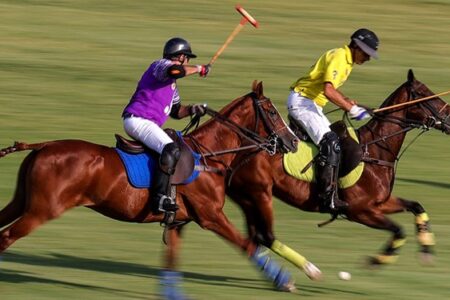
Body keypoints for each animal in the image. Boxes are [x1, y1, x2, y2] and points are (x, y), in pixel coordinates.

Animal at [0, 81, 302, 298]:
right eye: (272, 112)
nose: (294, 142)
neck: (208, 155)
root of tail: (43, 145)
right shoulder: (211, 217)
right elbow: (248, 245)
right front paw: (284, 280)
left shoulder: (179, 222)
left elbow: (170, 262)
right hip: (42, 210)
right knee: (6, 237)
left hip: (21, 202)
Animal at [229, 70, 450, 268]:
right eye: (424, 93)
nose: (449, 117)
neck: (375, 151)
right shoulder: (360, 211)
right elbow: (398, 229)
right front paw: (376, 261)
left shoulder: (380, 203)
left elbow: (416, 206)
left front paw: (426, 248)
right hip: (259, 193)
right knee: (263, 235)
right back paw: (307, 269)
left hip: (248, 197)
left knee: (254, 237)